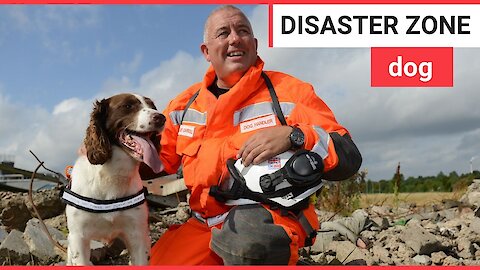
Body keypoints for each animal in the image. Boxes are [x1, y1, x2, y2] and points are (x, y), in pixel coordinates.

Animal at [65, 93, 165, 266]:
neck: (112, 175)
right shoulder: (78, 237)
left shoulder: (138, 235)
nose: (161, 118)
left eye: (153, 106)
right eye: (127, 106)